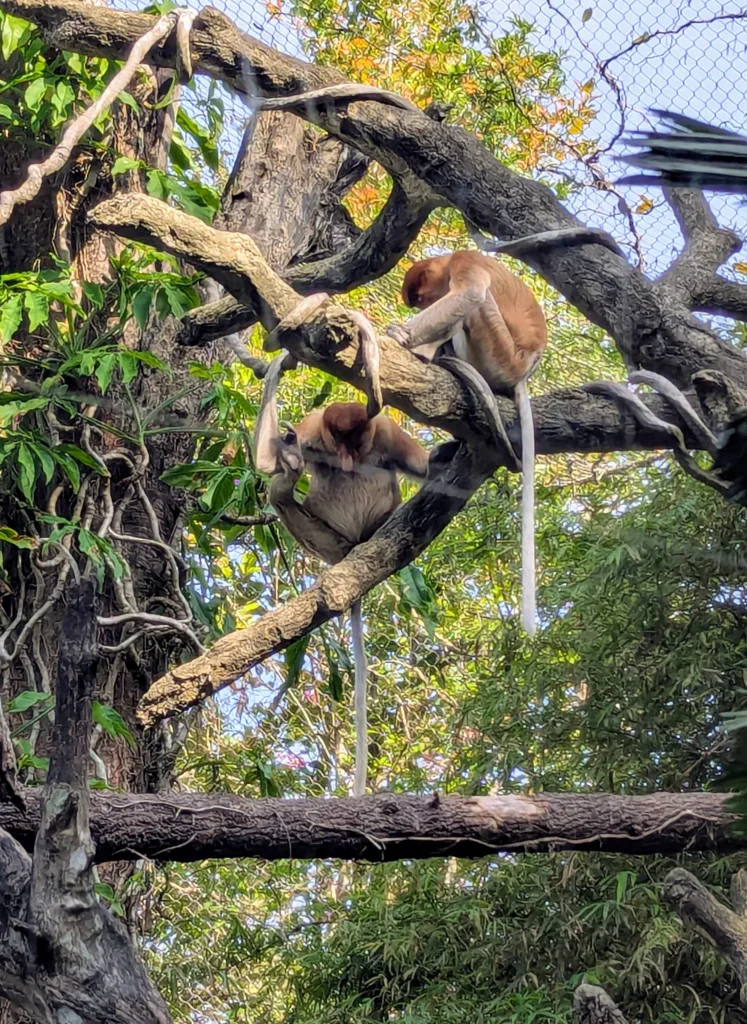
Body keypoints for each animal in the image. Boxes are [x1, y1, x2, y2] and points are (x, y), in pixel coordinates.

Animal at [386, 250, 547, 636]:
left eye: (420, 298)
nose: (420, 305)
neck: (447, 263)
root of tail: (522, 373)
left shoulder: (465, 262)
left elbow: (468, 295)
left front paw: (401, 336)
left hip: (496, 351)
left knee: (473, 306)